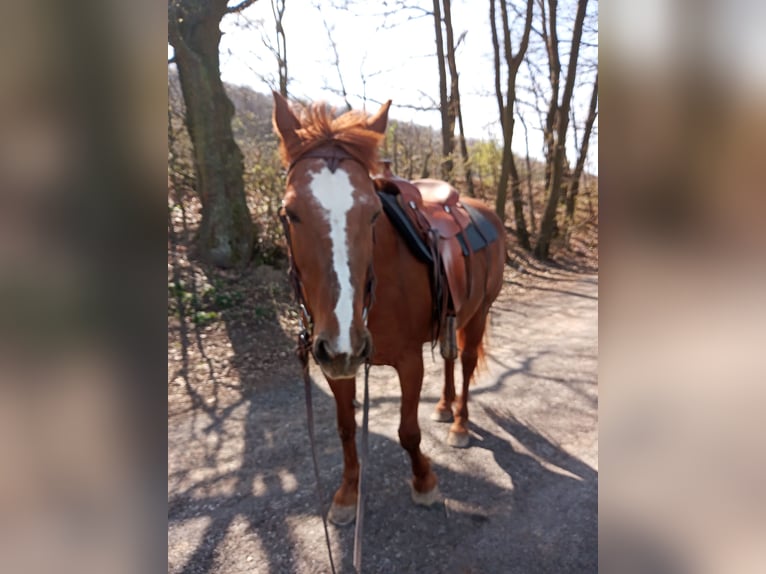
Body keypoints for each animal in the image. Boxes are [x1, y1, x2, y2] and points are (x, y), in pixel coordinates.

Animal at [272, 92, 506, 525]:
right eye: (289, 213)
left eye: (373, 213)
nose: (344, 340)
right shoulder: (334, 363)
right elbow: (346, 429)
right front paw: (348, 493)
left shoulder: (408, 361)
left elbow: (407, 431)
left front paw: (424, 480)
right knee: (449, 360)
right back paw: (444, 407)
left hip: (479, 313)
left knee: (465, 363)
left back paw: (460, 424)